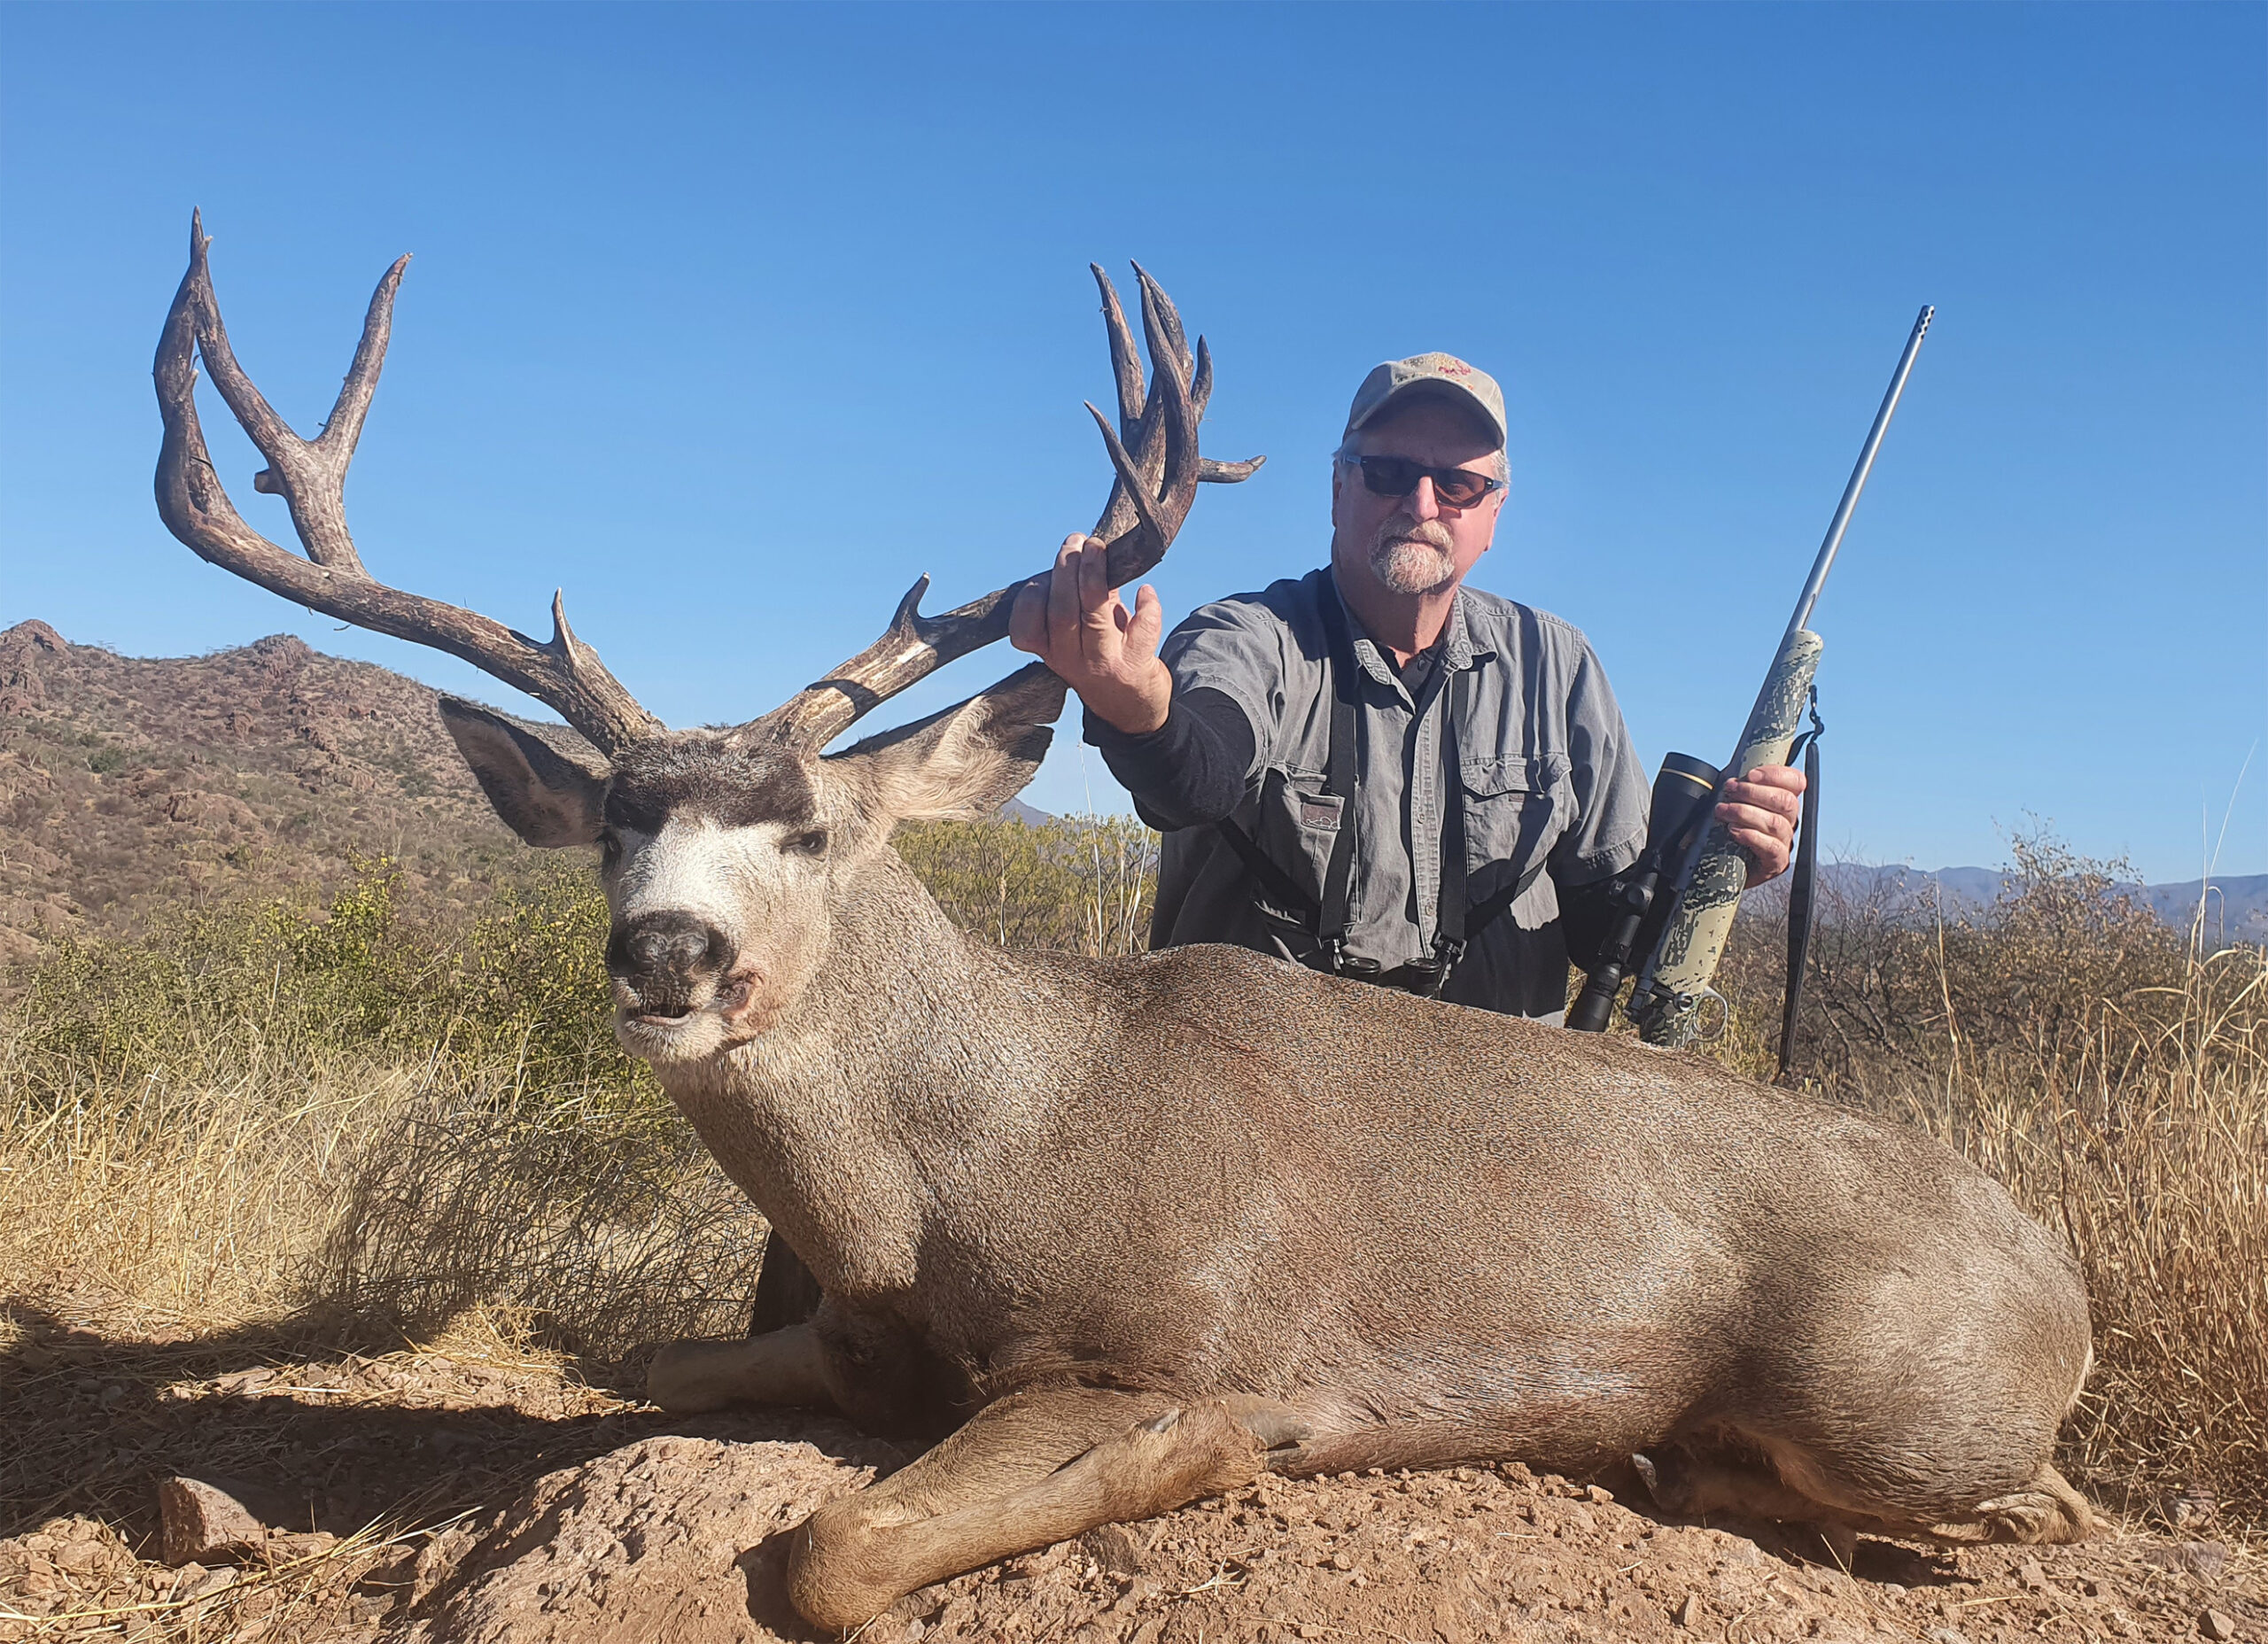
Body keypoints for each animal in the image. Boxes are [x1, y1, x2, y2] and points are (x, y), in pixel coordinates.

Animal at [153, 214, 2096, 1632]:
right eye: (617, 830)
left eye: (806, 825)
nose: (666, 958)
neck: (957, 1171)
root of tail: (2059, 1272)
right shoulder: (841, 1340)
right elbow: (624, 1360)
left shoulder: (1161, 1344)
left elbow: (834, 1553)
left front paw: (1211, 1464)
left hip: (1889, 1400)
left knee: (2044, 1506)